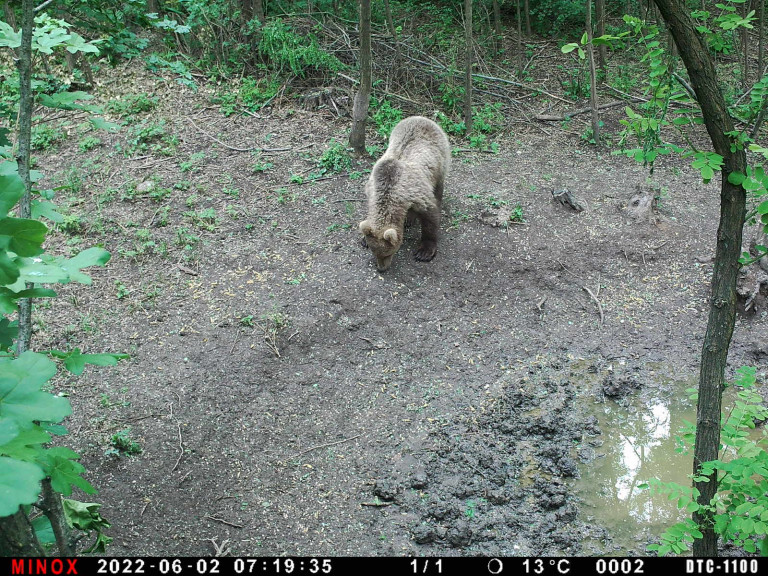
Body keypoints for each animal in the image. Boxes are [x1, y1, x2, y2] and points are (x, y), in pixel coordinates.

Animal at [358, 116, 450, 274]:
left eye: (388, 253)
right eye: (374, 252)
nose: (381, 268)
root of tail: (422, 118)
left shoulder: (417, 193)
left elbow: (430, 217)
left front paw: (424, 252)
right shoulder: (372, 188)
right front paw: (364, 238)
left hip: (439, 162)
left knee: (438, 189)